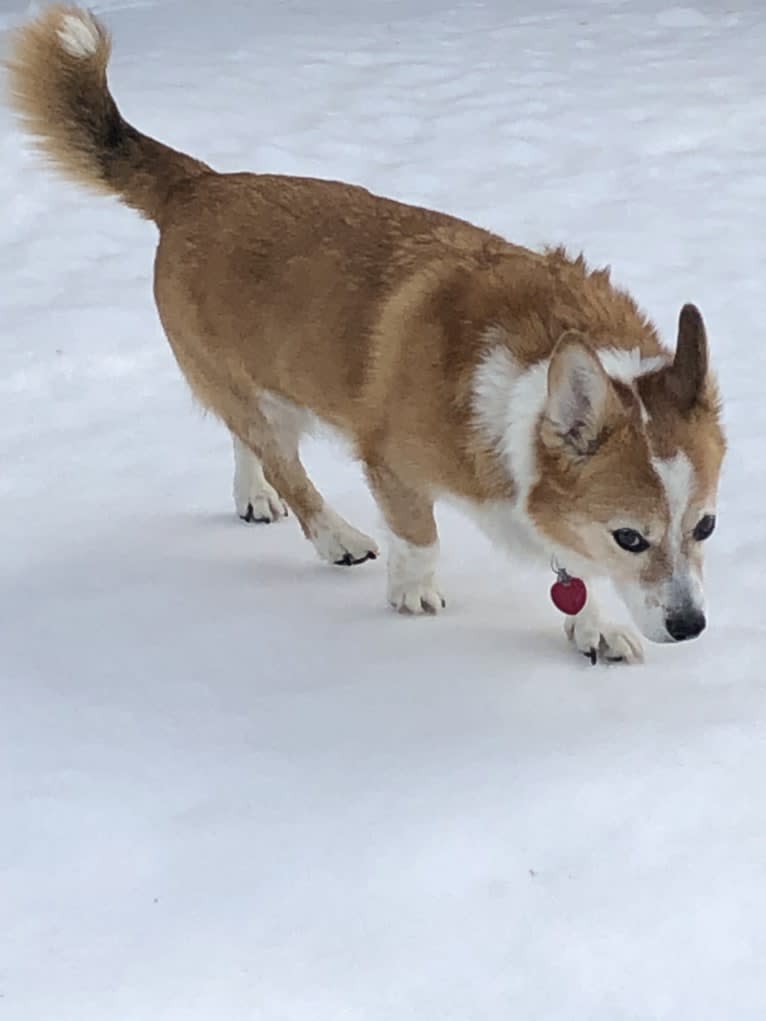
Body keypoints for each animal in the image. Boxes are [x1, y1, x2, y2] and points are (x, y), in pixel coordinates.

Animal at [4, 5, 727, 661]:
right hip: (250, 393)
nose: (691, 627)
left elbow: (570, 566)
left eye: (707, 525)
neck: (531, 369)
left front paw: (592, 624)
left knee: (248, 443)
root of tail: (198, 185)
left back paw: (253, 496)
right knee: (284, 464)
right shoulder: (393, 463)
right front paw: (412, 591)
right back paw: (336, 536)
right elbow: (421, 535)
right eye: (631, 537)